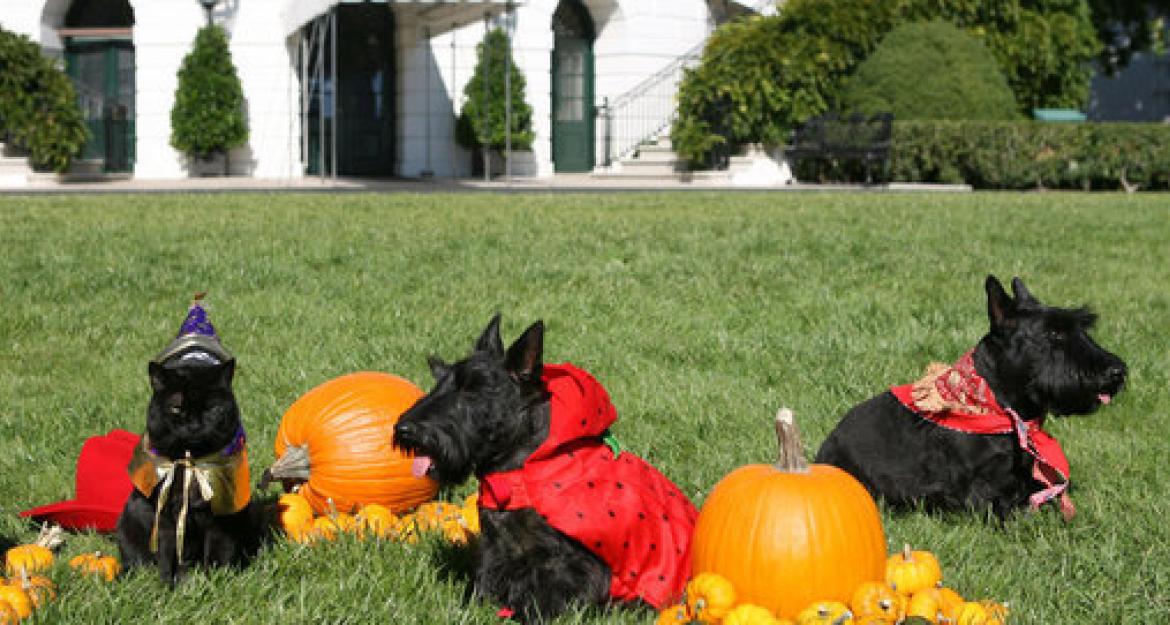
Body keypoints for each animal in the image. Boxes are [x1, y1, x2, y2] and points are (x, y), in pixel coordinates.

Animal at [114, 296, 260, 585]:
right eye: (176, 408)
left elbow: (218, 552)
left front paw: (215, 582)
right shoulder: (167, 515)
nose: (193, 424)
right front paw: (170, 585)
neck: (191, 463)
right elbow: (168, 555)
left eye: (211, 408)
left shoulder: (220, 515)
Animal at [395, 316, 692, 622]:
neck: (518, 470)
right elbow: (486, 580)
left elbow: (547, 596)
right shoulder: (493, 547)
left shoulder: (567, 563)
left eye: (472, 389)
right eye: (438, 381)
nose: (403, 429)